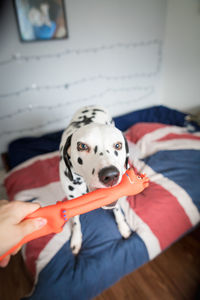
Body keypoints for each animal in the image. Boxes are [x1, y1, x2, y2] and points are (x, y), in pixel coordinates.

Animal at [59, 106, 131, 254]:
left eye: (118, 145)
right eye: (82, 146)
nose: (110, 175)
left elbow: (117, 210)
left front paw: (123, 226)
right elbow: (76, 221)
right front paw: (76, 239)